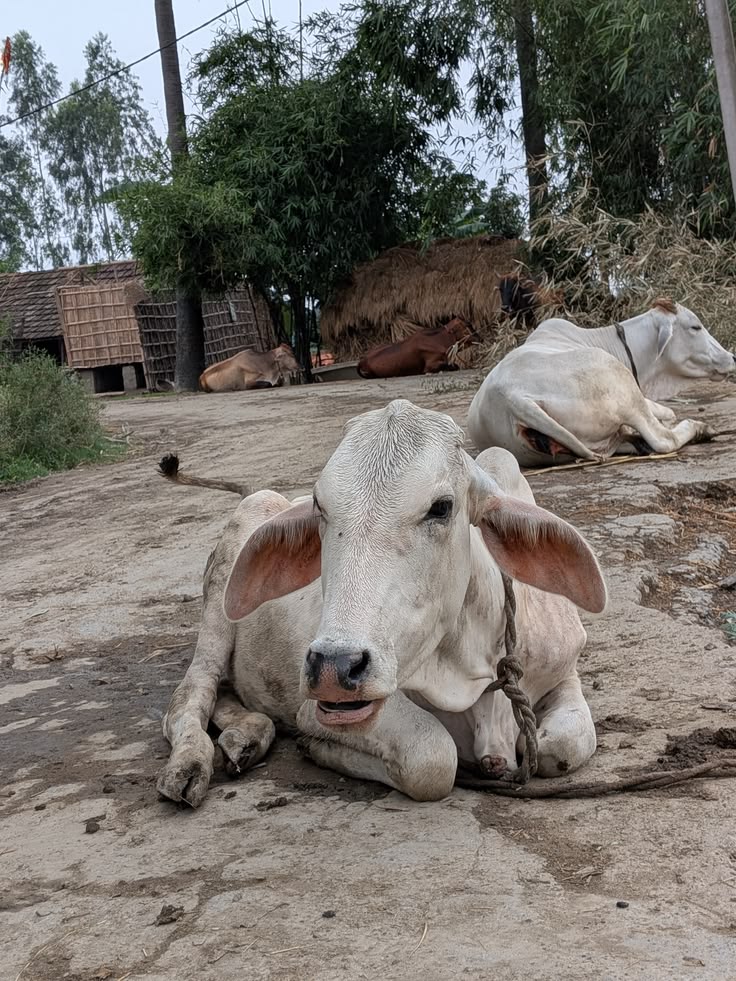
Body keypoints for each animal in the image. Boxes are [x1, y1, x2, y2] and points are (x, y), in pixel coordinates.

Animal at [156, 400, 607, 808]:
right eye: (320, 507)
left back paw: (246, 735)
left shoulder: (564, 672)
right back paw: (191, 763)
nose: (334, 666)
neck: (469, 665)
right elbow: (433, 758)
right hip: (227, 581)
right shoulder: (324, 710)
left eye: (441, 507)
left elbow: (560, 747)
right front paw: (315, 747)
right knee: (190, 694)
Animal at [468, 298, 735, 467]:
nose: (732, 357)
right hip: (622, 388)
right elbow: (668, 413)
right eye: (695, 326)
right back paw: (701, 428)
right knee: (662, 439)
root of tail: (512, 397)